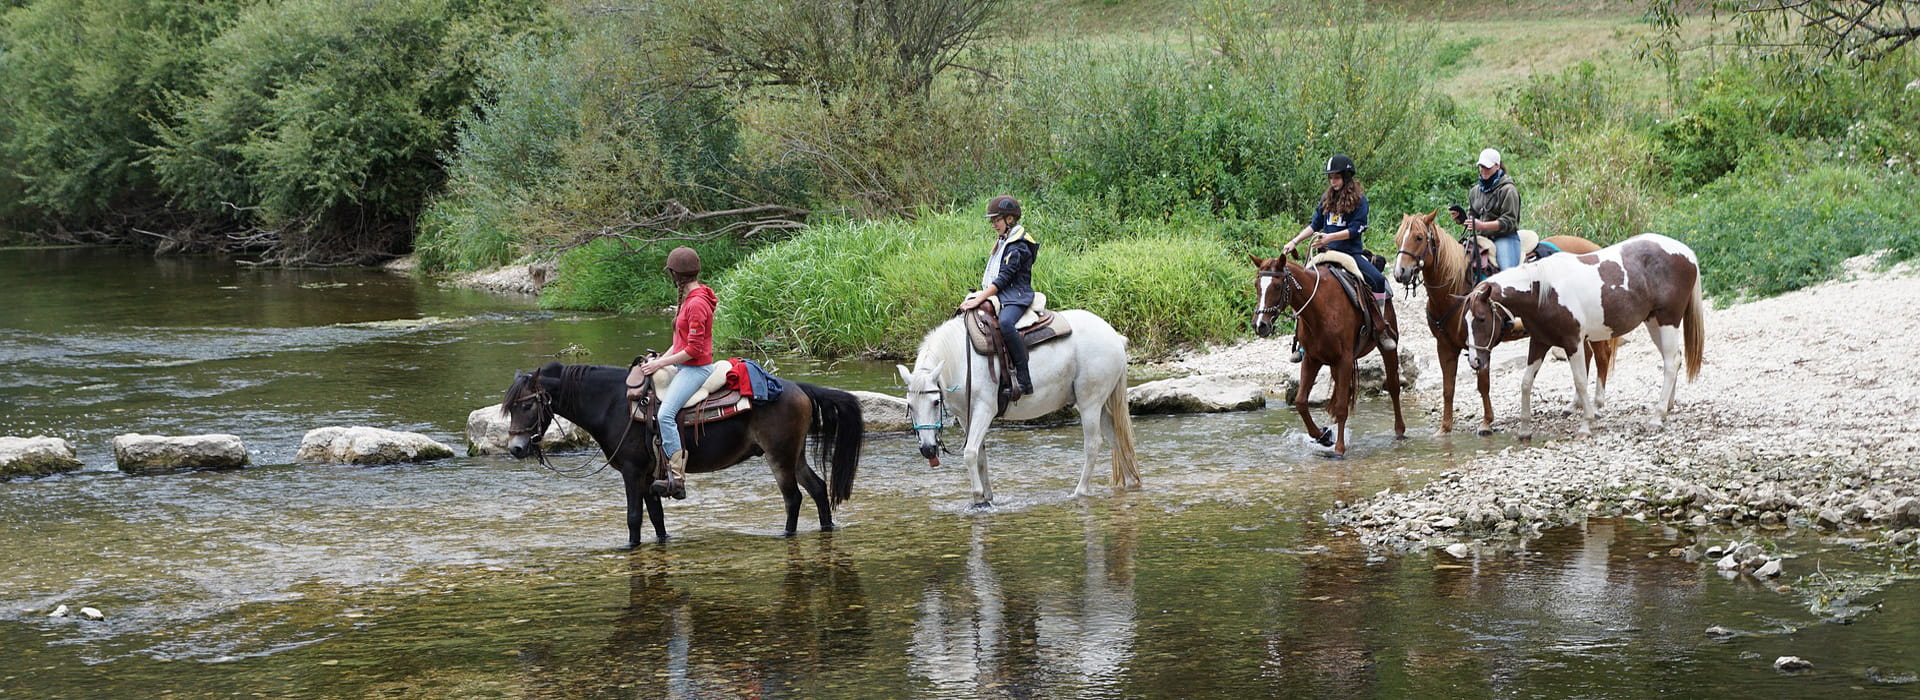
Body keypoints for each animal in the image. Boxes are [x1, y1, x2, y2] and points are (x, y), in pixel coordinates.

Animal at [510, 360, 871, 544]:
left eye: (527, 405)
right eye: (510, 406)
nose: (515, 448)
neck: (614, 404)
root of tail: (798, 388)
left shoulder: (631, 471)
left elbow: (633, 517)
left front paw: (630, 547)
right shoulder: (648, 475)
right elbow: (656, 517)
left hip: (779, 456)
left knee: (793, 497)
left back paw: (786, 534)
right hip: (794, 455)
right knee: (817, 488)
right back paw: (826, 528)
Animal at [898, 308, 1136, 506]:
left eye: (935, 402)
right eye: (910, 406)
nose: (928, 450)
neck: (961, 359)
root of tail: (1114, 336)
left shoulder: (985, 409)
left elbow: (970, 453)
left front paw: (977, 498)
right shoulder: (966, 417)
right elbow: (981, 456)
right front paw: (987, 497)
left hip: (1090, 403)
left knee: (1093, 444)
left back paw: (1080, 492)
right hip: (1100, 405)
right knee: (1117, 439)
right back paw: (1132, 483)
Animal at [1244, 247, 1413, 454]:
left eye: (1276, 286)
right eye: (1256, 285)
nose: (1259, 325)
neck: (1320, 308)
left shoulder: (1344, 360)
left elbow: (1341, 407)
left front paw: (1339, 449)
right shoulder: (1312, 359)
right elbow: (1301, 402)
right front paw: (1323, 435)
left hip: (1387, 347)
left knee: (1394, 387)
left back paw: (1399, 430)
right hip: (1333, 364)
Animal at [1397, 210, 1620, 433]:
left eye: (1418, 237)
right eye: (1398, 239)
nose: (1400, 273)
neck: (1454, 287)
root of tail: (1594, 247)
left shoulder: (1482, 344)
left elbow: (1483, 385)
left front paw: (1486, 423)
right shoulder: (1445, 347)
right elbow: (1448, 389)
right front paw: (1444, 429)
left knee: (1602, 356)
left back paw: (1597, 406)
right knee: (1588, 356)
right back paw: (1574, 404)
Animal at [1466, 235, 1712, 441]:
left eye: (1481, 318)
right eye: (1465, 320)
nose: (1475, 361)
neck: (1543, 291)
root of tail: (1686, 252)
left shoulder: (1572, 343)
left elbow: (1581, 381)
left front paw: (1586, 424)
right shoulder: (1539, 342)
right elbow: (1526, 383)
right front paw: (1525, 430)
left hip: (1667, 321)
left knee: (1670, 363)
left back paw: (1657, 417)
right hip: (1654, 323)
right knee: (1674, 359)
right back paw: (1667, 407)